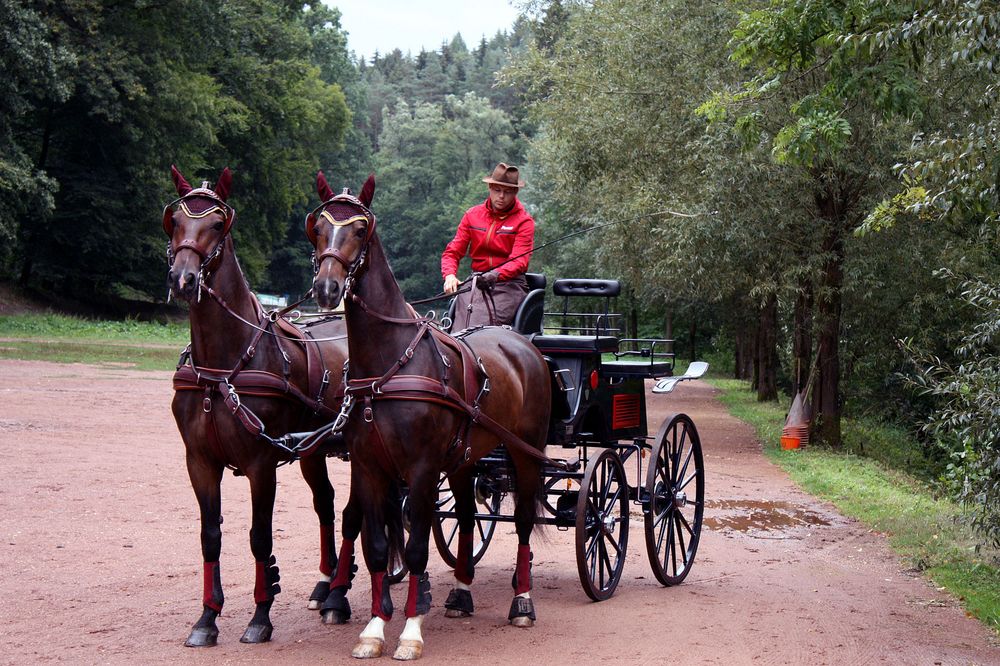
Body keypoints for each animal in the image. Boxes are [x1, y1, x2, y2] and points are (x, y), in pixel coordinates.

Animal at [162, 165, 350, 644]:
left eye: (217, 224)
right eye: (176, 220)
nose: (183, 279)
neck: (223, 368)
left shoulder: (261, 463)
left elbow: (259, 537)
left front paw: (260, 616)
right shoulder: (200, 461)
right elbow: (210, 536)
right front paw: (207, 618)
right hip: (313, 450)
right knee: (326, 504)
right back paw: (326, 584)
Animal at [306, 172, 552, 660]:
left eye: (360, 229)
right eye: (318, 227)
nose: (326, 289)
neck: (389, 365)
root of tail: (522, 344)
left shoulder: (419, 470)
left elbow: (417, 547)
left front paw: (411, 632)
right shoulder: (370, 467)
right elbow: (377, 546)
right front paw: (373, 629)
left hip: (525, 453)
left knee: (522, 522)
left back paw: (522, 601)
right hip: (464, 459)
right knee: (468, 516)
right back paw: (461, 592)